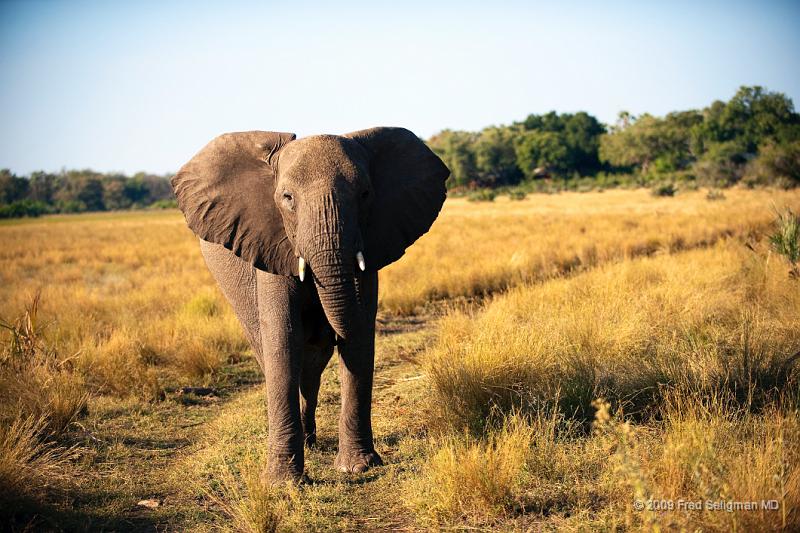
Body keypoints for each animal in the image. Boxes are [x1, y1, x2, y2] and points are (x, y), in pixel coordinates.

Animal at [171, 127, 450, 480]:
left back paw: (311, 439)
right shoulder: (269, 244)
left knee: (313, 367)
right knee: (275, 355)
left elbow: (358, 340)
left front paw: (357, 467)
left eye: (365, 194)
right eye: (287, 198)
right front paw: (283, 482)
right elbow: (283, 340)